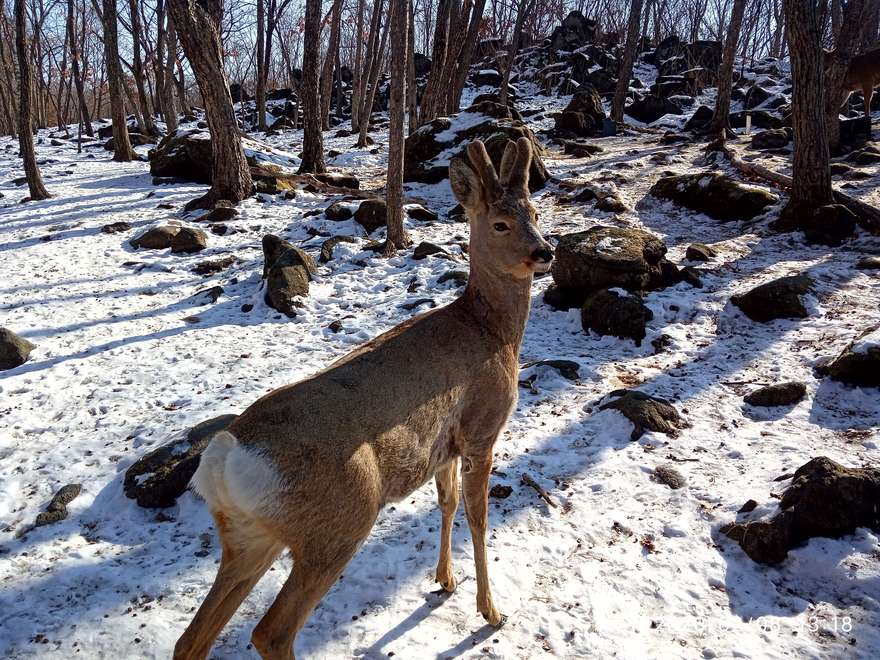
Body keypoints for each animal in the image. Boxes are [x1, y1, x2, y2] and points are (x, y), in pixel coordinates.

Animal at [174, 137, 552, 656]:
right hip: (339, 524)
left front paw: (445, 580)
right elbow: (478, 518)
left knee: (191, 640)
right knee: (270, 631)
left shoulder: (445, 446)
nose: (545, 251)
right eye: (500, 223)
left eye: (533, 210)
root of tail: (224, 459)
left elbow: (447, 503)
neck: (491, 331)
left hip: (248, 536)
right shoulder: (481, 429)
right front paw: (490, 612)